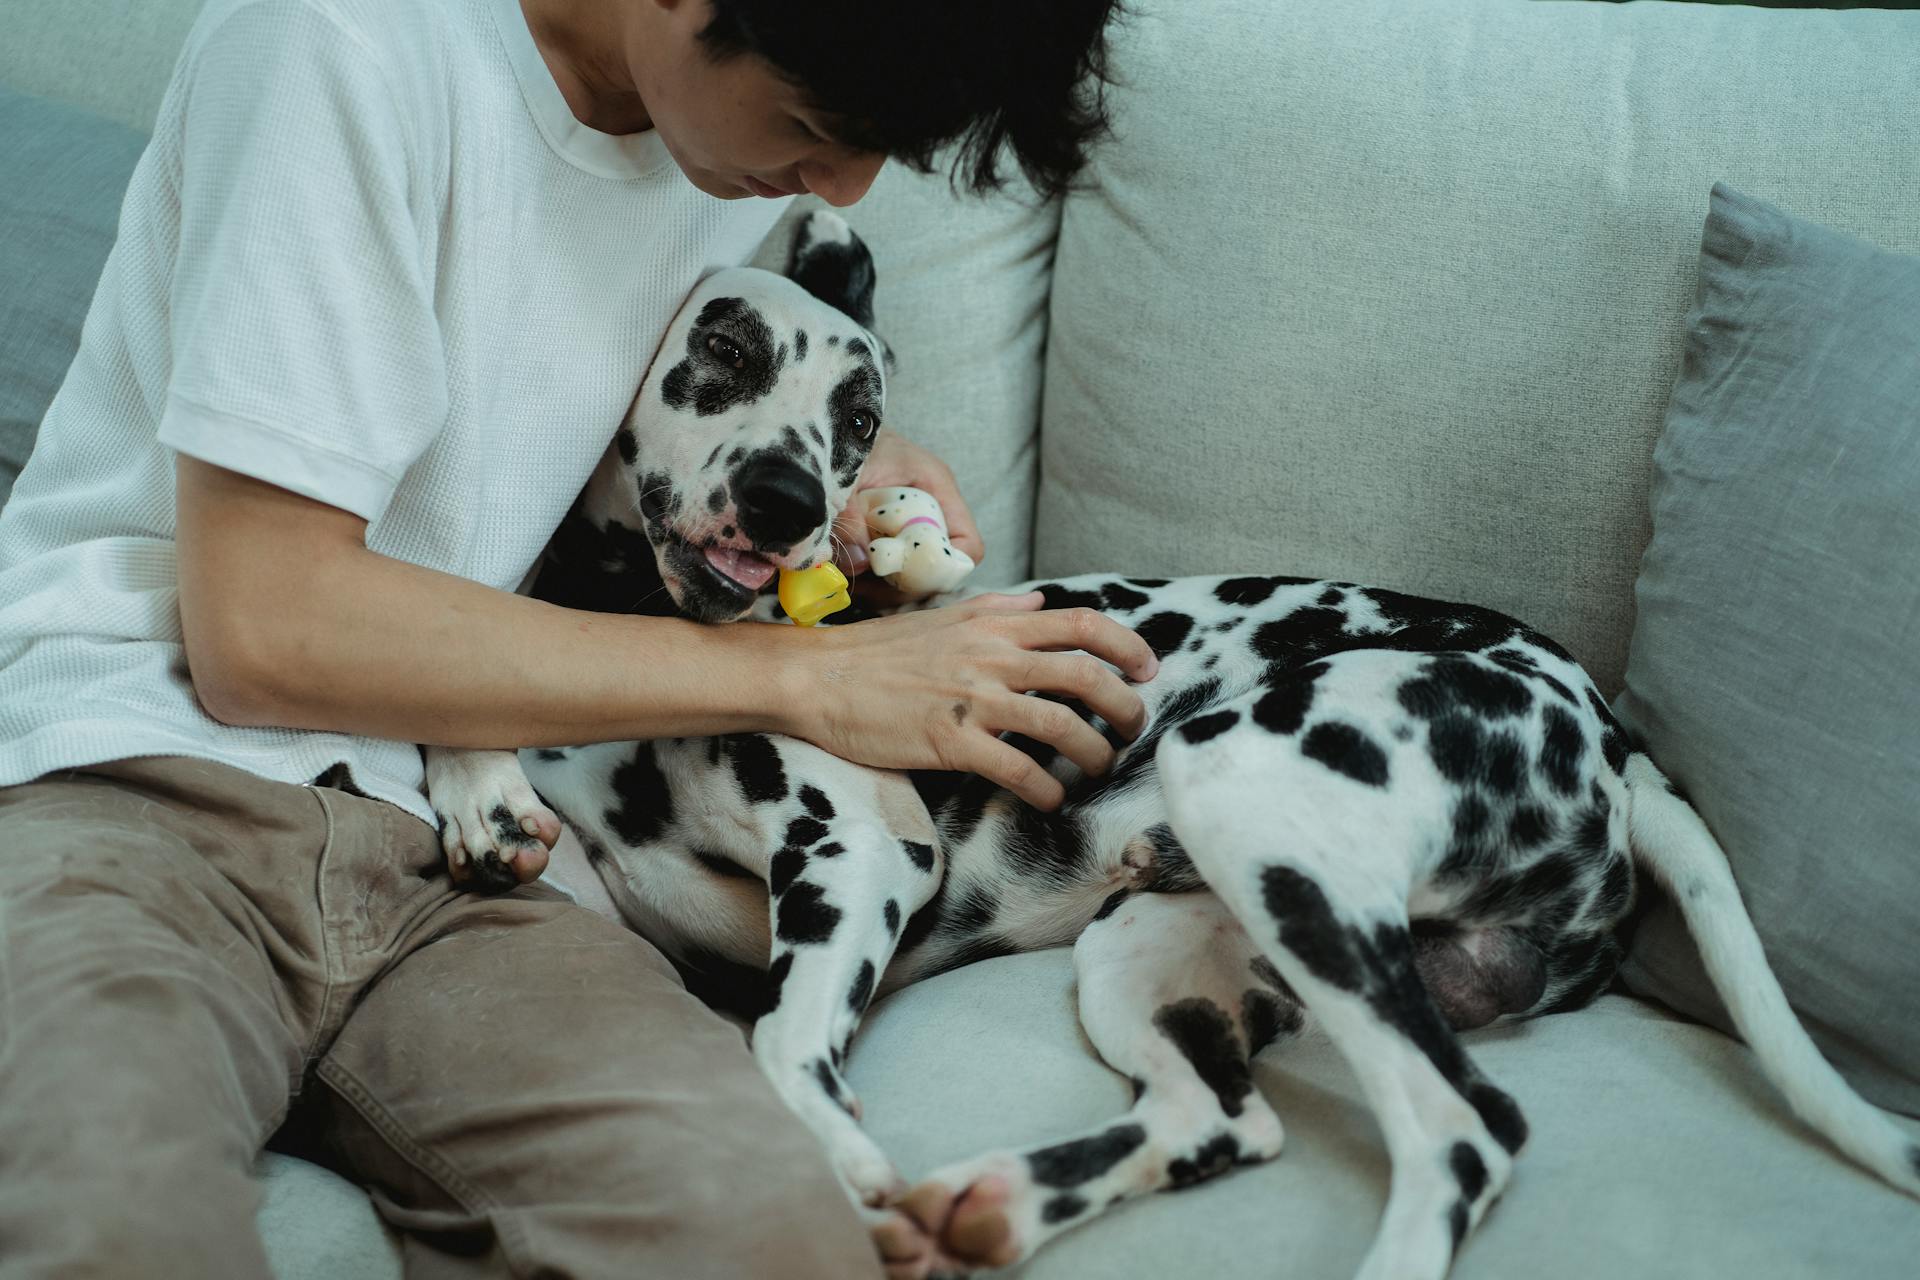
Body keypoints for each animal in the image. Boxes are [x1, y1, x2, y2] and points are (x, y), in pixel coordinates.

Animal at [432, 213, 1920, 1280]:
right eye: (726, 352)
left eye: (860, 421)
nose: (794, 496)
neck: (640, 627)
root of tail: (1614, 736)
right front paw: (479, 789)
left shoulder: (863, 851)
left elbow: (783, 1046)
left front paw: (840, 1165)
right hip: (1153, 949)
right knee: (1224, 1119)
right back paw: (994, 1201)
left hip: (1245, 794)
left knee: (1462, 1135)